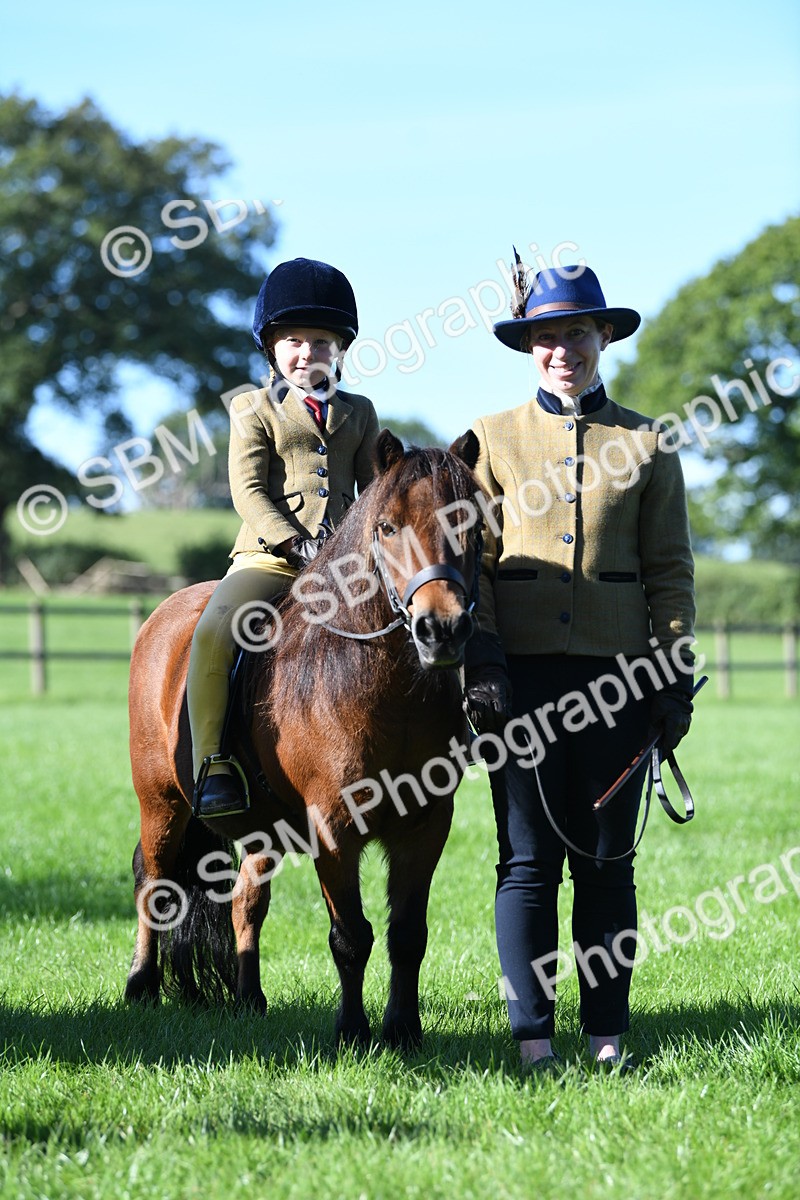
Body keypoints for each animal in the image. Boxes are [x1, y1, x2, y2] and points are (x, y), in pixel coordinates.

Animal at [124, 428, 483, 1048]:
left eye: (472, 523)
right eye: (387, 527)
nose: (442, 629)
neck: (386, 687)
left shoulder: (427, 824)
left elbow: (407, 934)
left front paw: (403, 1032)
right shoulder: (334, 827)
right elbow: (352, 935)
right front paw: (353, 1034)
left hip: (258, 828)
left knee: (246, 901)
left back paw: (249, 998)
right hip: (162, 804)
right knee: (156, 882)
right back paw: (140, 986)